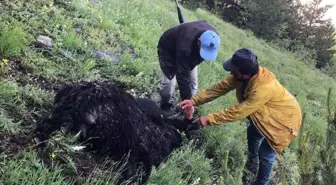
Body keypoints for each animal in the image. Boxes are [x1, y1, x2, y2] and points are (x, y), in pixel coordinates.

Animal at [34, 81, 200, 184]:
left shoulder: (132, 156)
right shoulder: (138, 154)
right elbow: (139, 175)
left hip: (66, 116)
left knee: (46, 124)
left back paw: (40, 144)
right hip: (70, 115)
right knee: (47, 125)